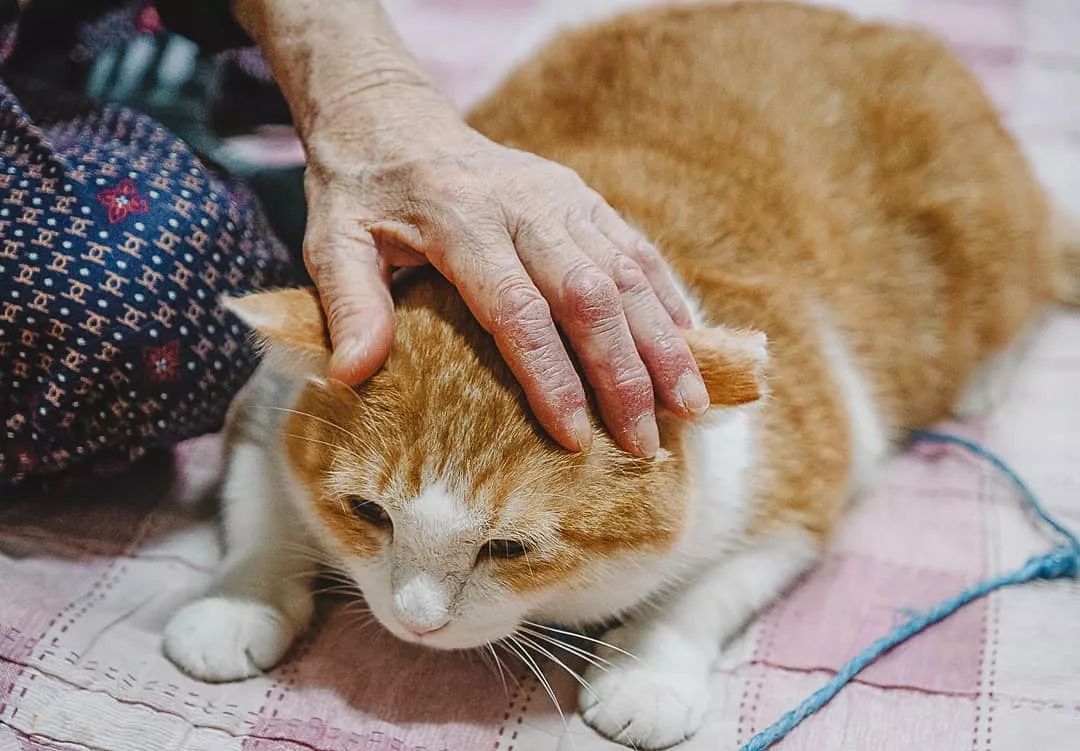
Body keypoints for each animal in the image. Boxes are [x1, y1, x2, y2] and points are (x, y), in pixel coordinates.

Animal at [159, 2, 1071, 747]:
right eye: (366, 512)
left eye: (507, 547)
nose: (415, 621)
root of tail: (880, 29)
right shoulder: (269, 411)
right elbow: (260, 513)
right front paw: (234, 605)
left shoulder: (799, 485)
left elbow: (700, 593)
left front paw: (648, 674)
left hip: (984, 245)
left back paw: (985, 377)